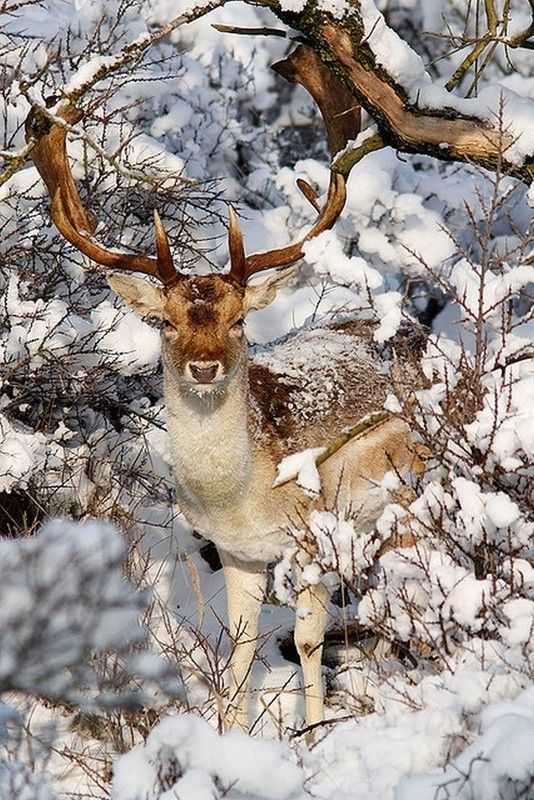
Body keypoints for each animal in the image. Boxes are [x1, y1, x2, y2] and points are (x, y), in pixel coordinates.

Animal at [27, 45, 426, 736]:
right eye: (165, 322)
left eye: (239, 319)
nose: (206, 367)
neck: (241, 496)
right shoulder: (238, 552)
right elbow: (239, 642)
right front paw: (233, 733)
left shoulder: (315, 535)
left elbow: (307, 641)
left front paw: (309, 732)